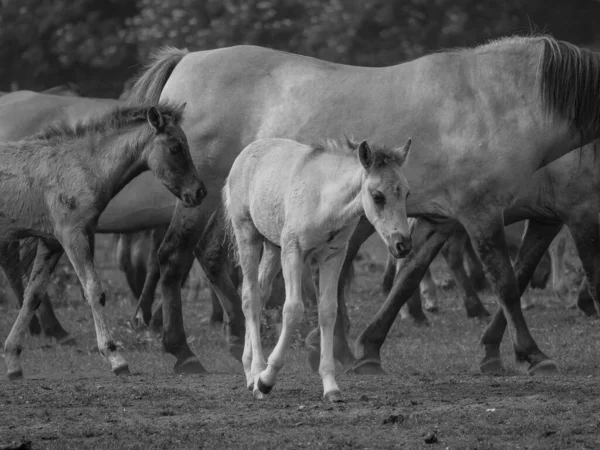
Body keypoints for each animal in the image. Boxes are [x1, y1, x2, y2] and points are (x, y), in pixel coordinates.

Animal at [1, 103, 206, 380]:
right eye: (175, 147)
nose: (199, 192)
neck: (82, 167)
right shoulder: (73, 235)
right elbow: (93, 290)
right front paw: (115, 357)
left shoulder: (51, 243)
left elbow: (32, 295)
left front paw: (13, 360)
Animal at [225, 136, 412, 400]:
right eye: (377, 196)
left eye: (406, 193)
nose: (403, 245)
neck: (324, 201)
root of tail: (248, 150)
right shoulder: (293, 251)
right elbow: (293, 309)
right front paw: (267, 379)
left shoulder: (333, 256)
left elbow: (328, 311)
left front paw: (331, 385)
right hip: (248, 235)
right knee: (250, 297)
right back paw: (257, 374)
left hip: (273, 247)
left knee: (260, 295)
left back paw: (250, 370)